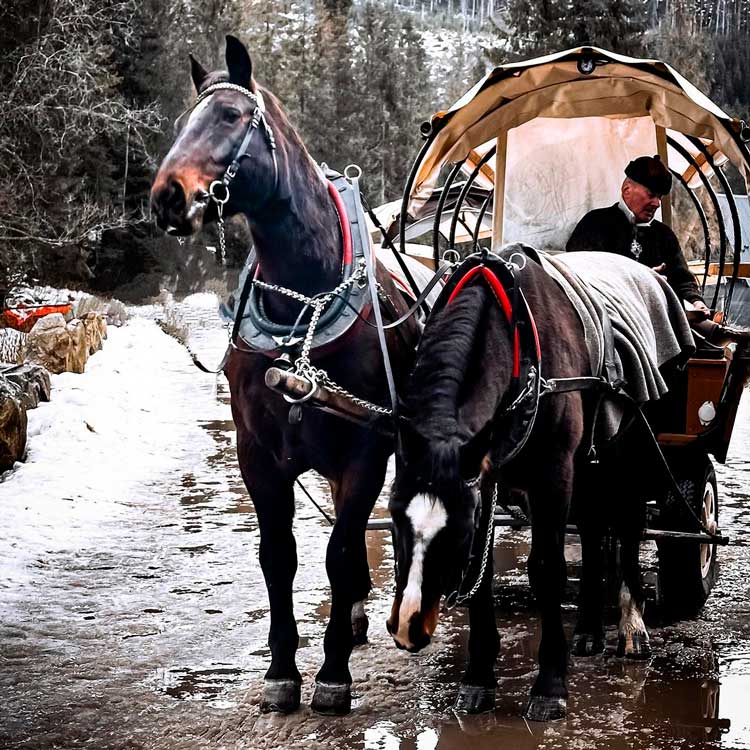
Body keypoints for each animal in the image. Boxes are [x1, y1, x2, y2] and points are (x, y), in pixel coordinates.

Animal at [151, 35, 424, 716]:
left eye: (229, 116)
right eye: (182, 121)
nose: (167, 196)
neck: (302, 304)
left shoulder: (365, 450)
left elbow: (339, 549)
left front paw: (332, 673)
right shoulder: (257, 452)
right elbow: (279, 557)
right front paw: (281, 669)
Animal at [388, 250, 652, 724]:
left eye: (456, 531)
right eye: (396, 519)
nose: (408, 626)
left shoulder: (553, 474)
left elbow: (547, 570)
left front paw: (550, 684)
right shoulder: (485, 476)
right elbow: (482, 575)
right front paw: (477, 678)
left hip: (627, 456)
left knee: (626, 524)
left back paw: (631, 624)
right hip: (587, 468)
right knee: (591, 530)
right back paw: (588, 629)